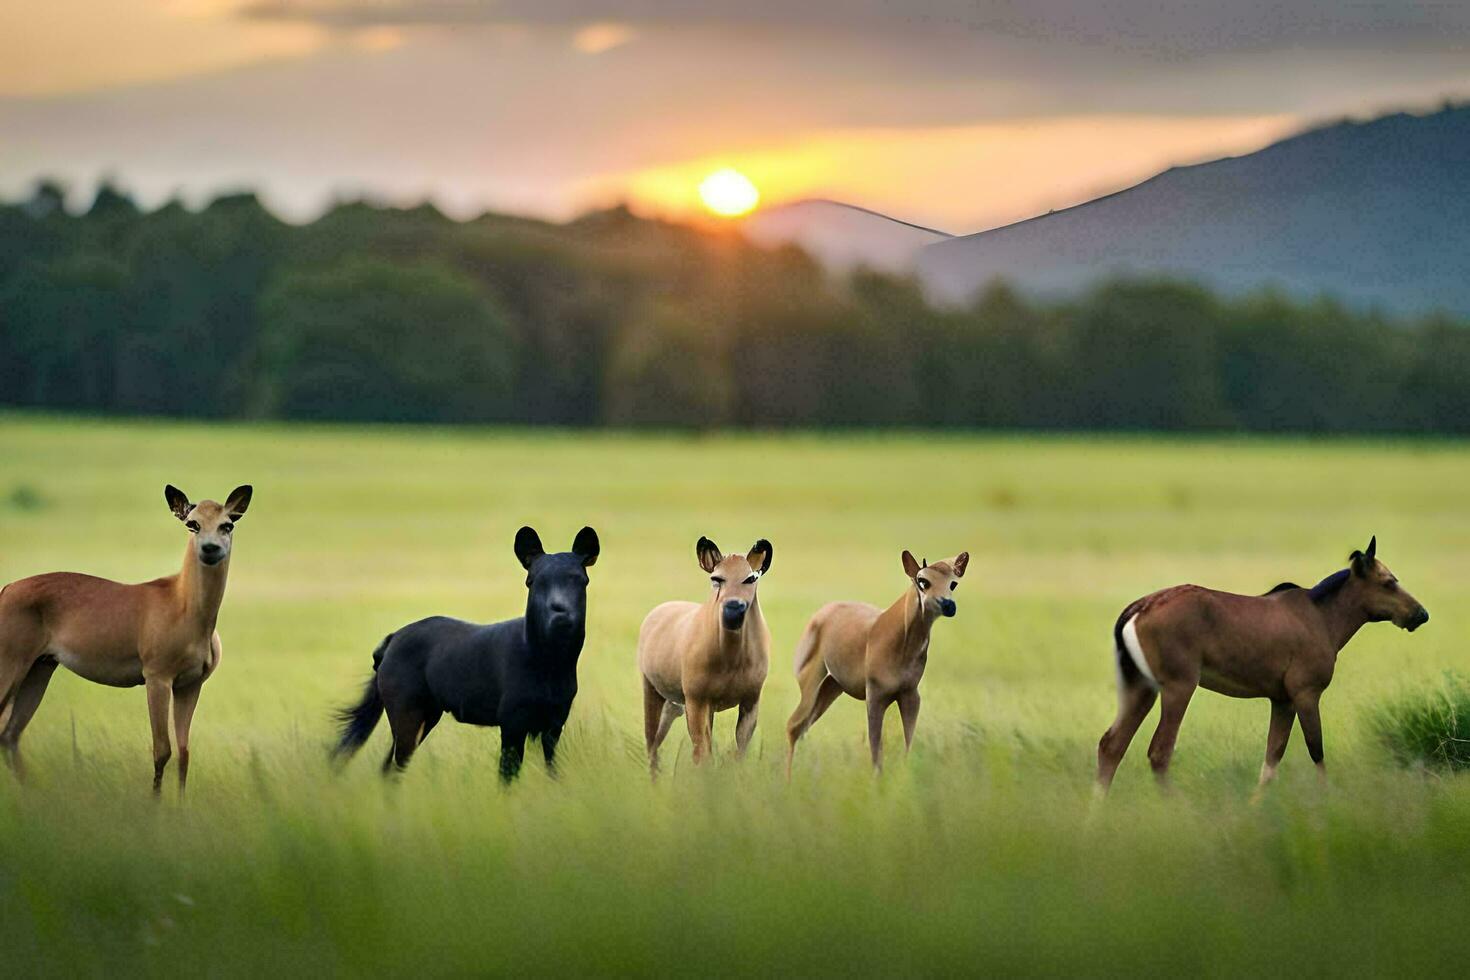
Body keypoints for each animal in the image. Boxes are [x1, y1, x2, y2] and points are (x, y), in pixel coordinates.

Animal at [0, 487, 251, 793]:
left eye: (227, 524)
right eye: (192, 523)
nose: (210, 549)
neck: (184, 606)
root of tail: (5, 590)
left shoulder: (191, 683)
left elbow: (184, 753)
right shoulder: (157, 676)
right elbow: (162, 750)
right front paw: (154, 803)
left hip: (40, 667)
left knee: (10, 734)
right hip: (11, 661)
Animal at [787, 552, 970, 775]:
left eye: (953, 583)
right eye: (922, 581)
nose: (948, 605)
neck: (902, 646)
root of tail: (817, 616)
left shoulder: (910, 693)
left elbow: (907, 742)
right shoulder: (874, 693)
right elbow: (876, 749)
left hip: (832, 685)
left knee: (802, 727)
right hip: (810, 680)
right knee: (793, 725)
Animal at [1105, 540, 1422, 793]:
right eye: (1388, 582)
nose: (1421, 613)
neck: (1322, 616)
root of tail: (1138, 608)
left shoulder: (1282, 700)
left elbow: (1272, 758)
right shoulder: (1306, 693)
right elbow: (1316, 750)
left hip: (1142, 687)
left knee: (1111, 746)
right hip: (1178, 686)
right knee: (1159, 753)